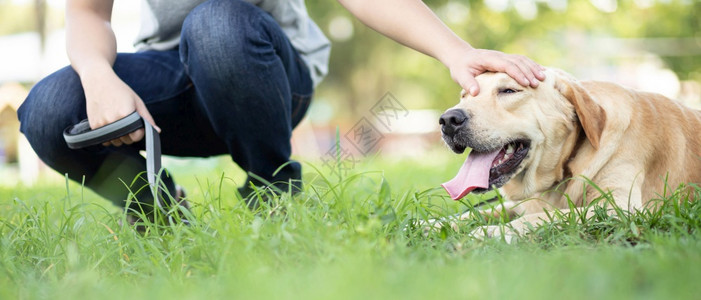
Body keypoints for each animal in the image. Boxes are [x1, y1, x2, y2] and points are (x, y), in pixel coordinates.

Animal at [438, 68, 700, 241]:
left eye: (509, 90)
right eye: (465, 95)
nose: (448, 120)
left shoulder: (620, 208)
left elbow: (550, 215)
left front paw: (494, 231)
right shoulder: (521, 204)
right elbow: (474, 213)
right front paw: (434, 223)